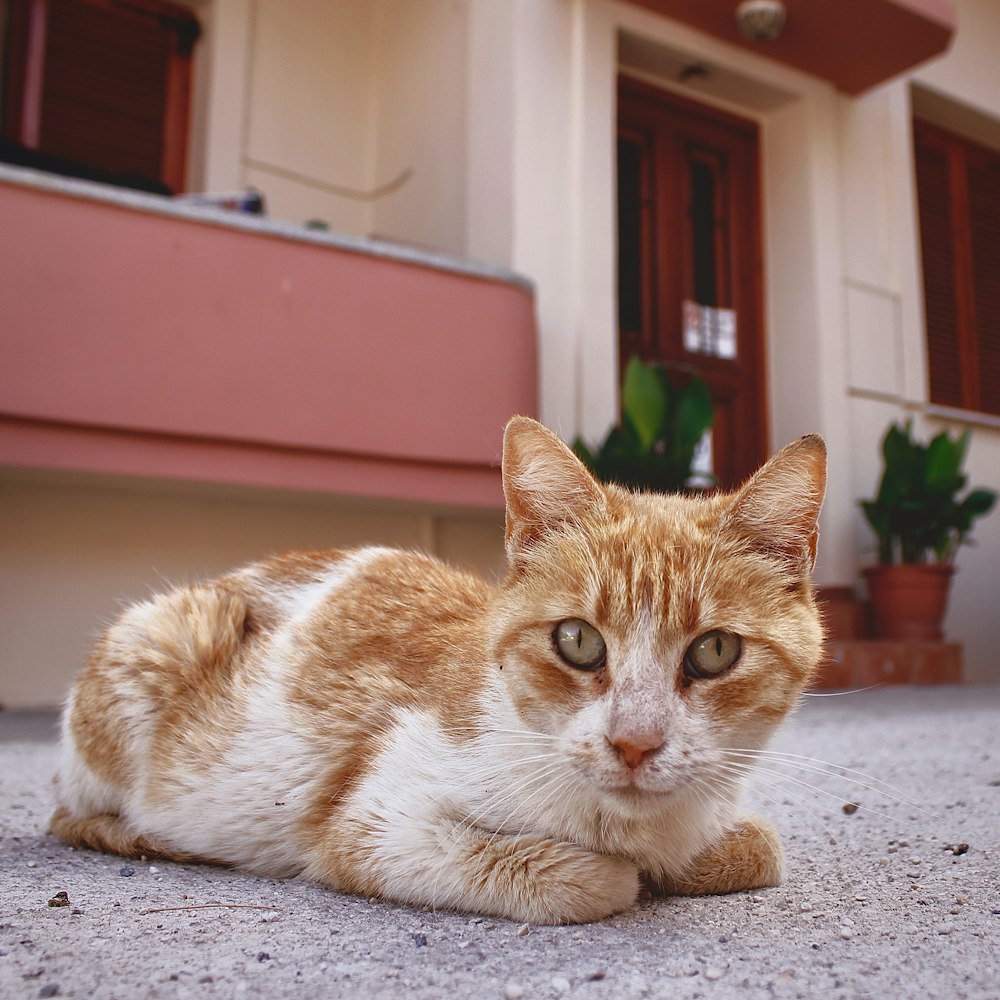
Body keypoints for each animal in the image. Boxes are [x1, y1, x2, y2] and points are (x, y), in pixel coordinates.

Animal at [48, 414, 828, 920]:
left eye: (714, 651)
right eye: (578, 641)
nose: (634, 743)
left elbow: (758, 846)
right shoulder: (372, 826)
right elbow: (590, 884)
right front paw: (622, 873)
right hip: (161, 642)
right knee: (72, 816)